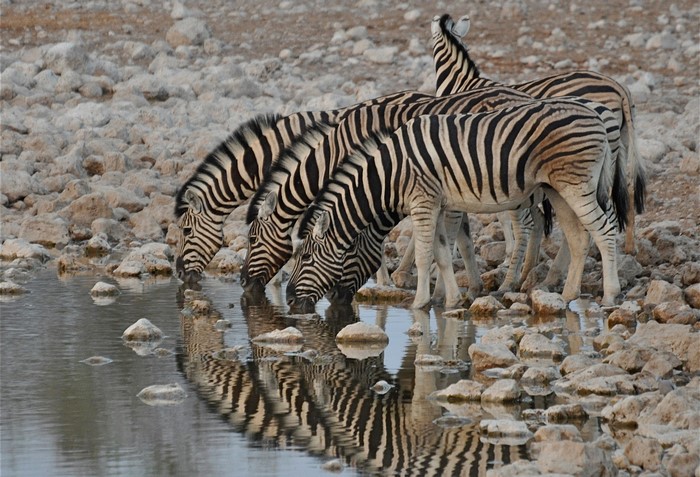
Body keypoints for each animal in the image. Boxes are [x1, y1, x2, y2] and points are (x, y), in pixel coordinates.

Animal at [242, 86, 548, 303]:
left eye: (252, 239)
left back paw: (512, 281)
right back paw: (529, 275)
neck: (334, 150)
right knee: (540, 219)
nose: (244, 283)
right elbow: (461, 238)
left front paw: (385, 280)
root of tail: (523, 94)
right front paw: (469, 286)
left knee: (526, 224)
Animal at [285, 99, 628, 312]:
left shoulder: (423, 201)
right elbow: (442, 252)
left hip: (577, 185)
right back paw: (568, 294)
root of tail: (597, 116)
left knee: (604, 231)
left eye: (305, 258)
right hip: (557, 190)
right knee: (579, 237)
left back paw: (611, 294)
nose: (288, 299)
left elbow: (425, 255)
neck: (389, 173)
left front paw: (419, 303)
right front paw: (450, 301)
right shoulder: (438, 203)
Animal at [431, 13, 645, 261]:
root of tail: (619, 88)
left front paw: (507, 251)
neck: (462, 82)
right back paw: (630, 247)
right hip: (620, 148)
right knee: (627, 188)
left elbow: (499, 212)